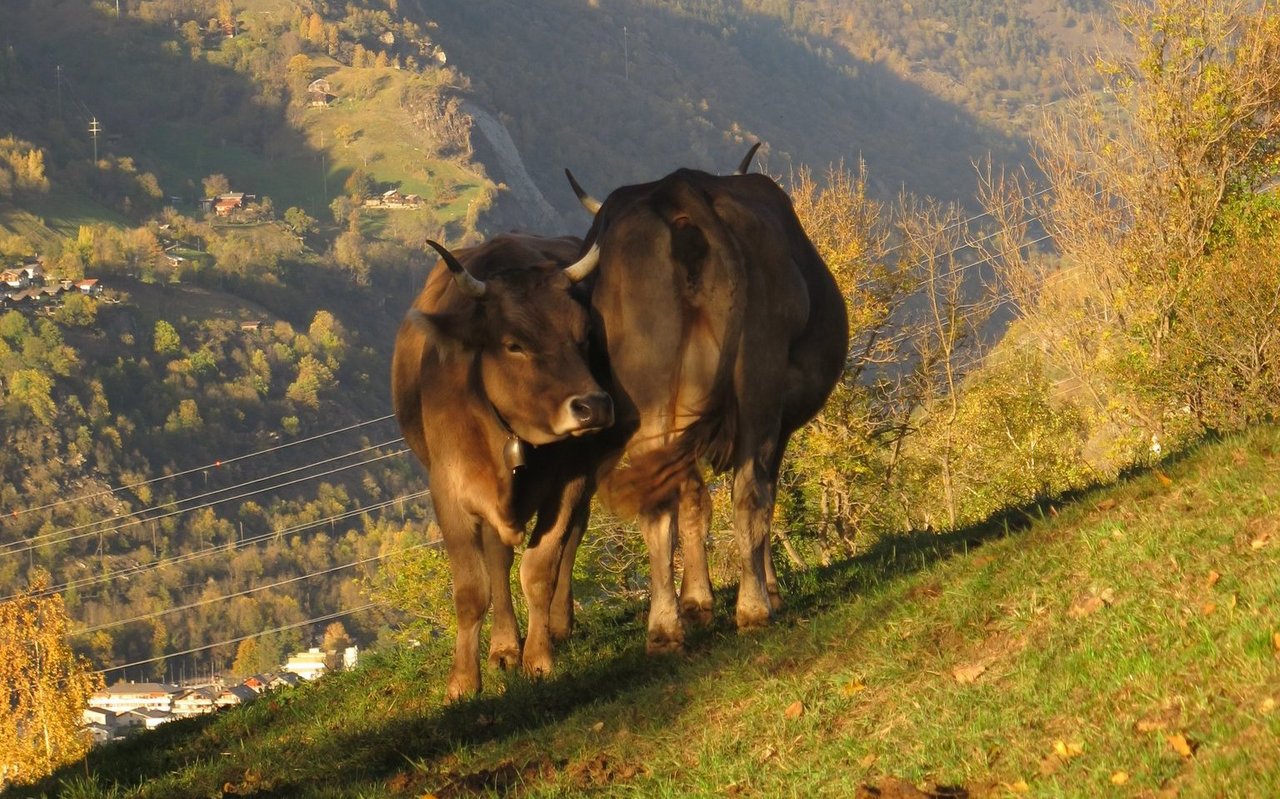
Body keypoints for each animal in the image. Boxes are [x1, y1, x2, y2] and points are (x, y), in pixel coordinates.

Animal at [386, 233, 611, 696]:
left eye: (583, 336)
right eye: (514, 344)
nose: (593, 406)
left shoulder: (570, 482)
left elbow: (540, 570)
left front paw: (539, 659)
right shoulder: (449, 492)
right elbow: (473, 589)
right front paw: (463, 680)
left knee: (570, 540)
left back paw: (557, 626)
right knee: (497, 558)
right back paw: (504, 646)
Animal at [570, 146, 849, 653]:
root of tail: (679, 188)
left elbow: (693, 501)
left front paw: (697, 601)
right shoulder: (776, 423)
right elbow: (762, 497)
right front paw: (767, 589)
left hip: (649, 401)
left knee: (662, 502)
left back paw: (664, 627)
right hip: (758, 380)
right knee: (751, 490)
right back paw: (754, 608)